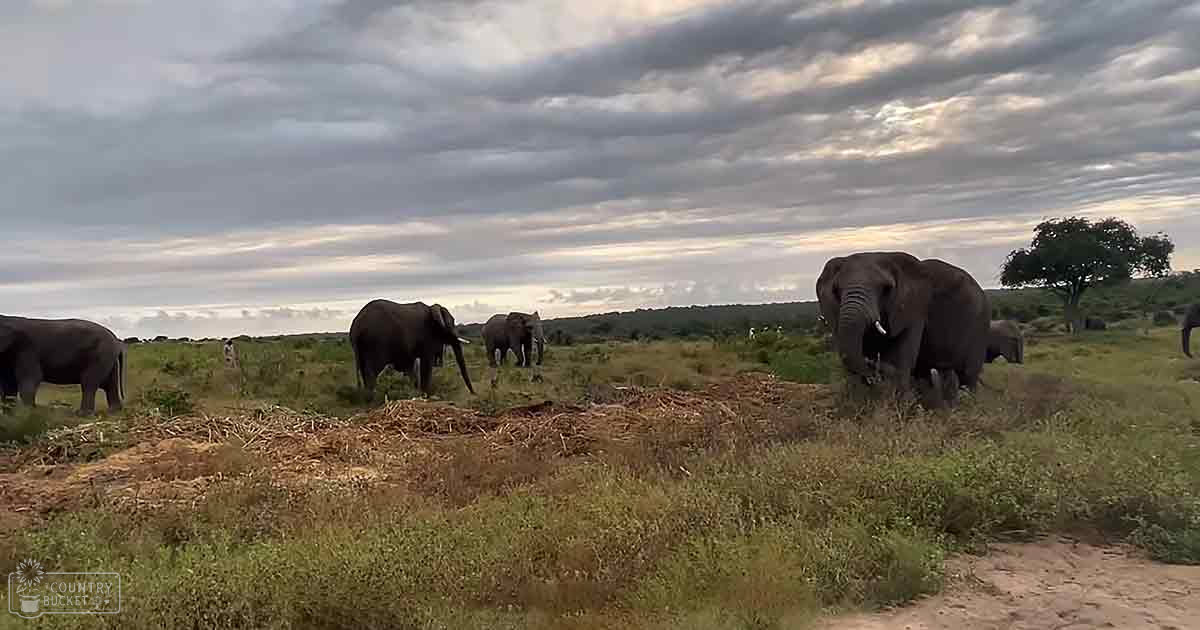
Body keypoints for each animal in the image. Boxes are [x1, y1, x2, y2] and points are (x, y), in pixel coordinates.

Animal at [816, 252, 990, 407]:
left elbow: (899, 356)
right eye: (836, 290)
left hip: (979, 322)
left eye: (886, 289)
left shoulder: (914, 308)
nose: (872, 365)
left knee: (967, 375)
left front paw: (901, 404)